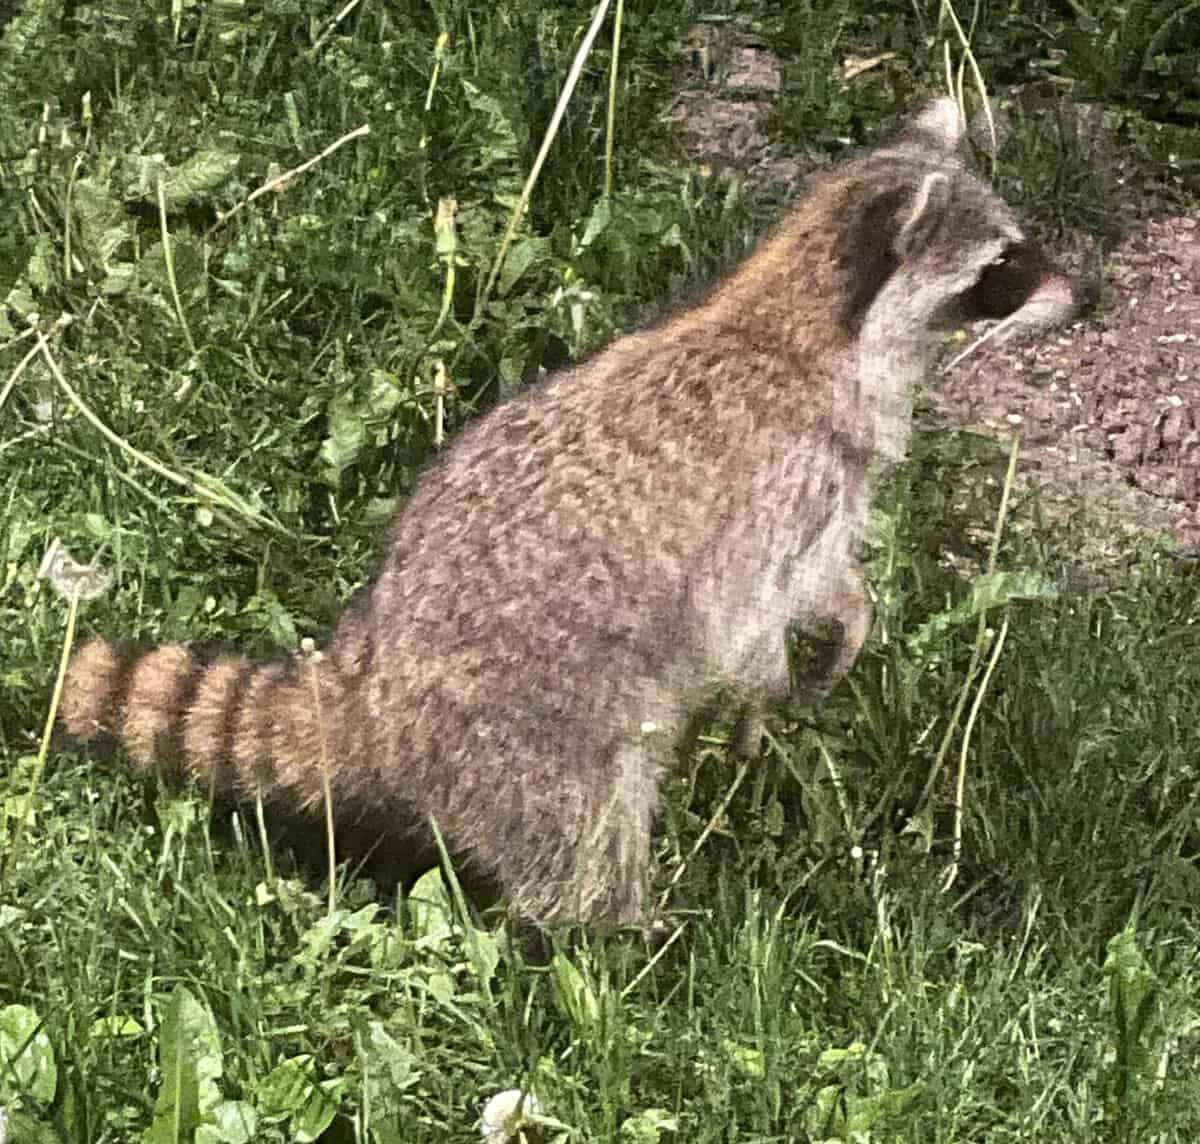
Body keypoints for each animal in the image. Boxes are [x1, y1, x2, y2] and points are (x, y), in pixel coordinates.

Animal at [59, 97, 1085, 925]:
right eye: (1004, 261)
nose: (1088, 294)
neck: (813, 323)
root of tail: (368, 694)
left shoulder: (827, 479)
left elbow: (822, 570)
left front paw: (850, 615)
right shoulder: (777, 476)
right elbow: (743, 614)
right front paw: (765, 694)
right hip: (528, 730)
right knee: (587, 830)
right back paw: (621, 937)